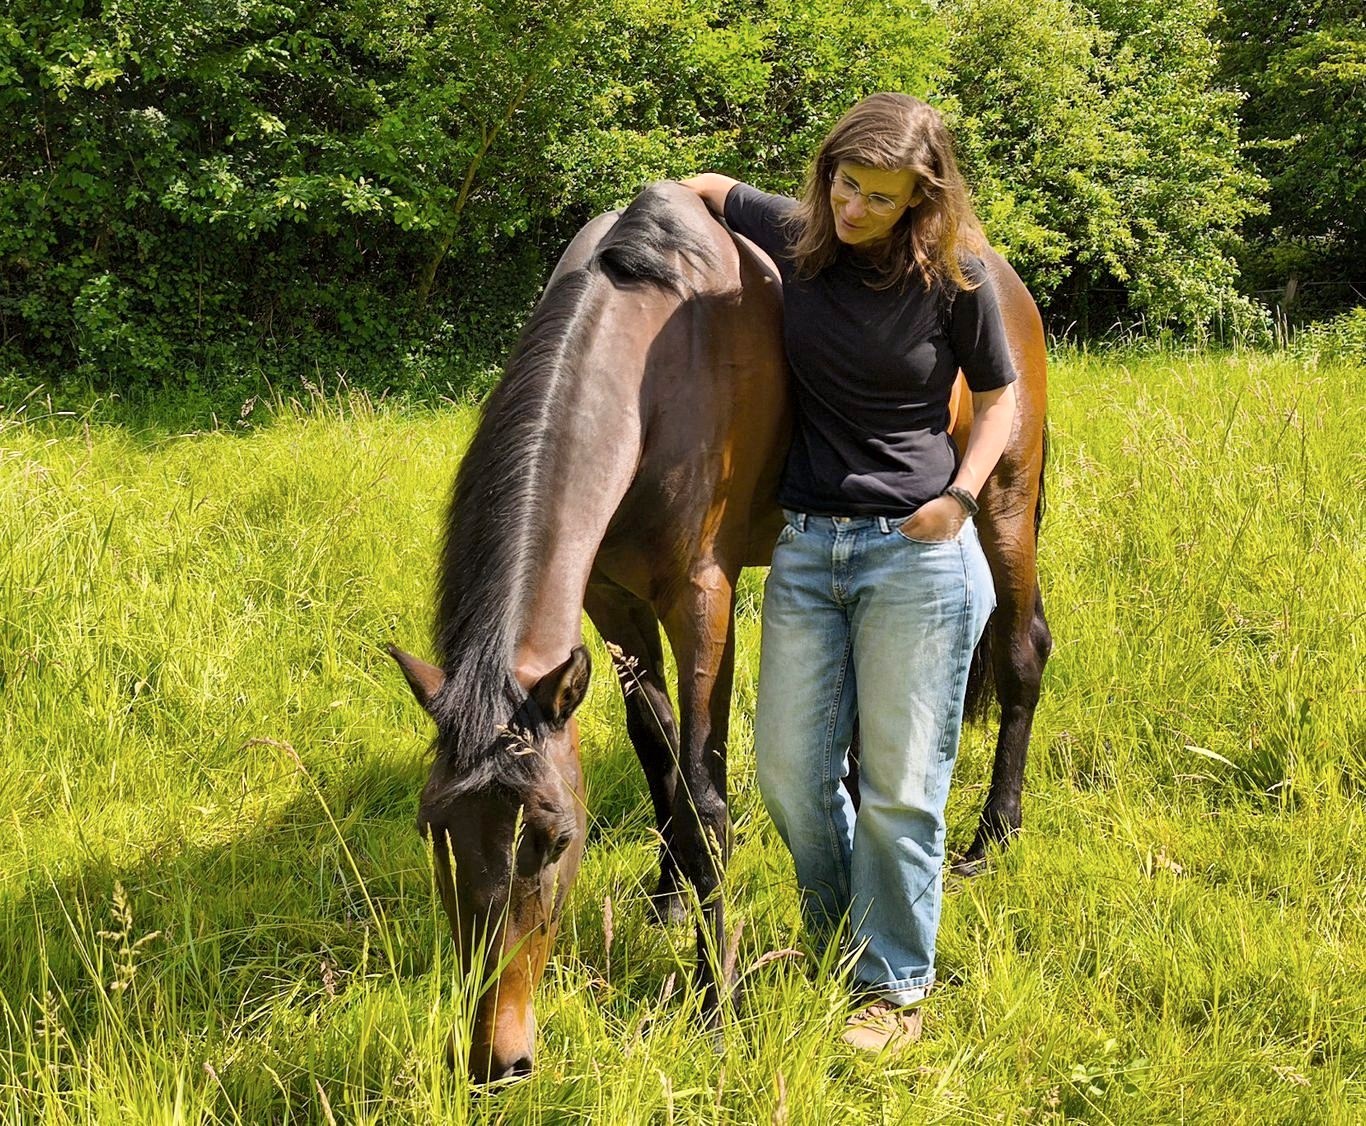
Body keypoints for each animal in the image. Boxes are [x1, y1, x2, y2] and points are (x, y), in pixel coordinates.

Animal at [389, 180, 1050, 1083]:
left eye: (553, 840)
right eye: (435, 831)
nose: (498, 1057)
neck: (648, 376)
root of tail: (999, 274)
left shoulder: (701, 597)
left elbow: (706, 795)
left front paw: (716, 1004)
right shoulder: (613, 605)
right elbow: (658, 746)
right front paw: (669, 895)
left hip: (1005, 506)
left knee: (1022, 654)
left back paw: (995, 835)